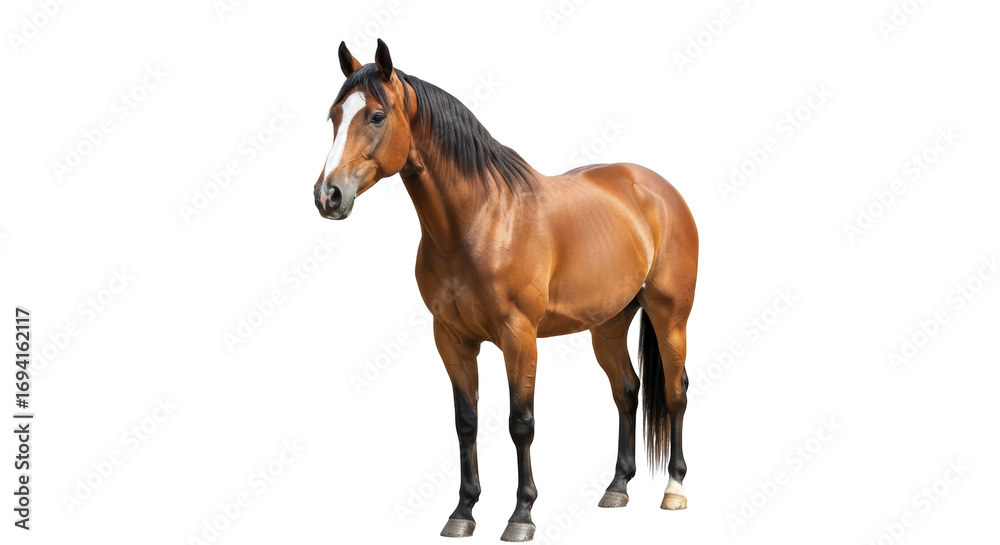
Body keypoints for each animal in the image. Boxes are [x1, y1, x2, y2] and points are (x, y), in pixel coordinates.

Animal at [314, 39, 698, 542]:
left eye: (376, 116)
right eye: (334, 116)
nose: (328, 196)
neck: (481, 219)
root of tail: (658, 189)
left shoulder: (519, 338)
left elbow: (521, 423)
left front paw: (522, 514)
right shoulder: (452, 339)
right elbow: (466, 422)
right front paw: (463, 511)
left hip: (669, 316)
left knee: (675, 392)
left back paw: (674, 489)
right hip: (609, 325)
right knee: (627, 390)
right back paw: (617, 487)